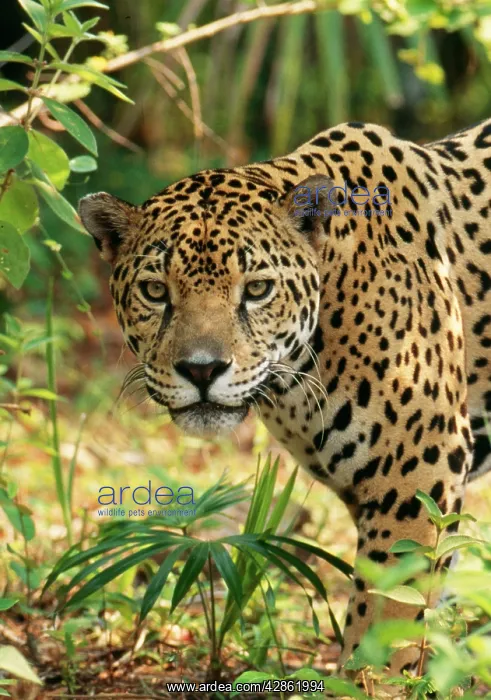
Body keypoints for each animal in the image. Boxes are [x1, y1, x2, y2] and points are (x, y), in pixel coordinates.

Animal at [79, 118, 491, 683]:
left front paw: (367, 685)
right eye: (155, 291)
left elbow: (386, 626)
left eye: (256, 289)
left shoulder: (418, 477)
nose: (202, 369)